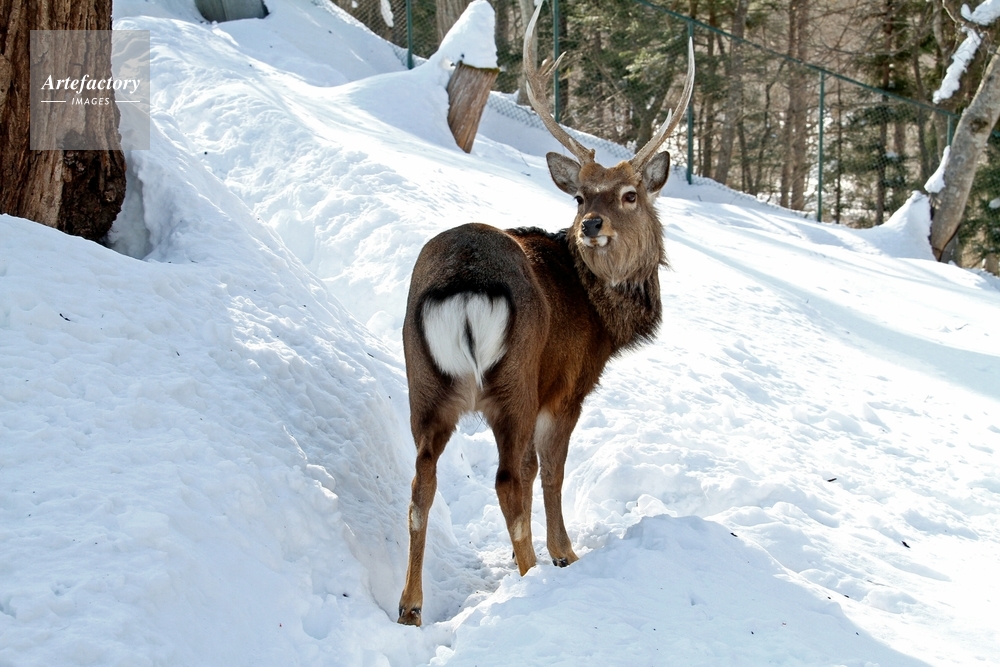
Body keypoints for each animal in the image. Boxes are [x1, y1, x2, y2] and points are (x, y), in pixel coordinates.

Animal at [396, 1, 695, 626]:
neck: (604, 318)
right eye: (580, 196)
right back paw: (531, 578)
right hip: (513, 379)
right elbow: (553, 471)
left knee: (420, 483)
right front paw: (566, 553)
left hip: (423, 380)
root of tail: (463, 280)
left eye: (629, 194)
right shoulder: (567, 384)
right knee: (511, 479)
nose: (591, 226)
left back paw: (410, 606)